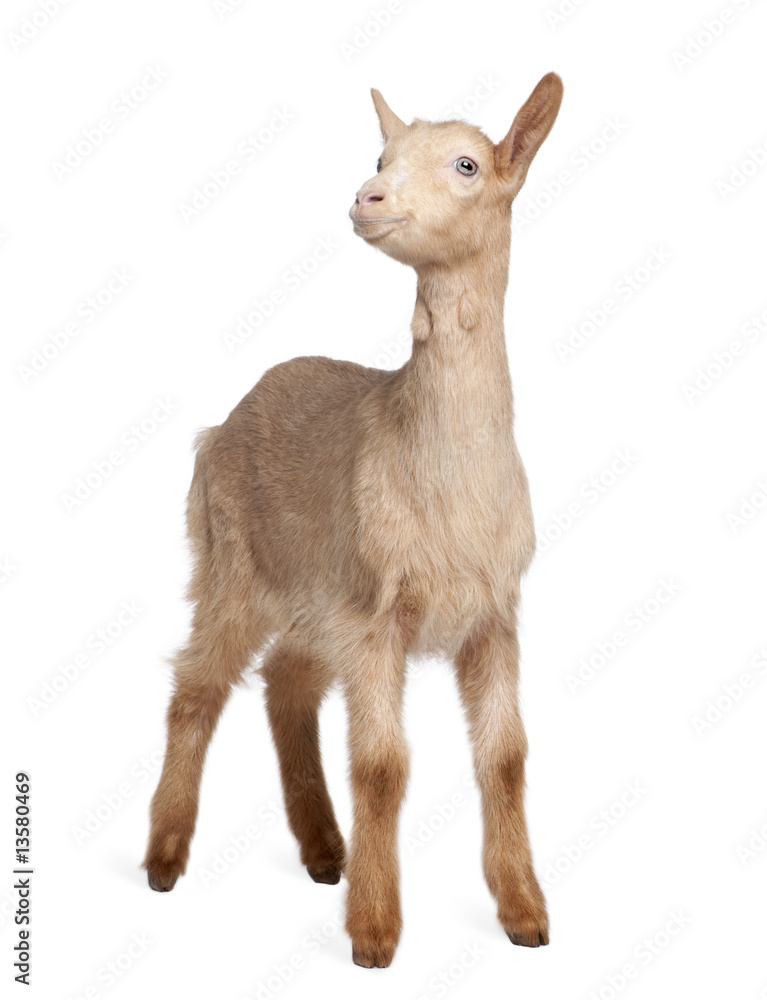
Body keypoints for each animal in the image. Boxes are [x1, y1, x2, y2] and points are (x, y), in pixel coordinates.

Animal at [143, 73, 564, 969]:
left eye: (467, 164)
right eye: (379, 157)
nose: (367, 199)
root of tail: (221, 423)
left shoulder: (492, 611)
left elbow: (505, 757)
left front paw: (524, 914)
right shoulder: (378, 614)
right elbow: (381, 764)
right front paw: (374, 934)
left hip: (313, 592)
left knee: (285, 684)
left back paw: (323, 850)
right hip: (232, 560)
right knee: (197, 686)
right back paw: (164, 860)